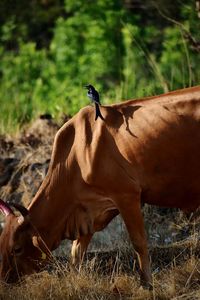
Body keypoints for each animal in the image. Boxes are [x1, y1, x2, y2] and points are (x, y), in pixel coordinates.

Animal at [0, 85, 200, 288]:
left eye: (16, 248)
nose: (4, 279)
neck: (76, 157)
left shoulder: (127, 196)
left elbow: (139, 242)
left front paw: (146, 284)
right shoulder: (87, 212)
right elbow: (77, 252)